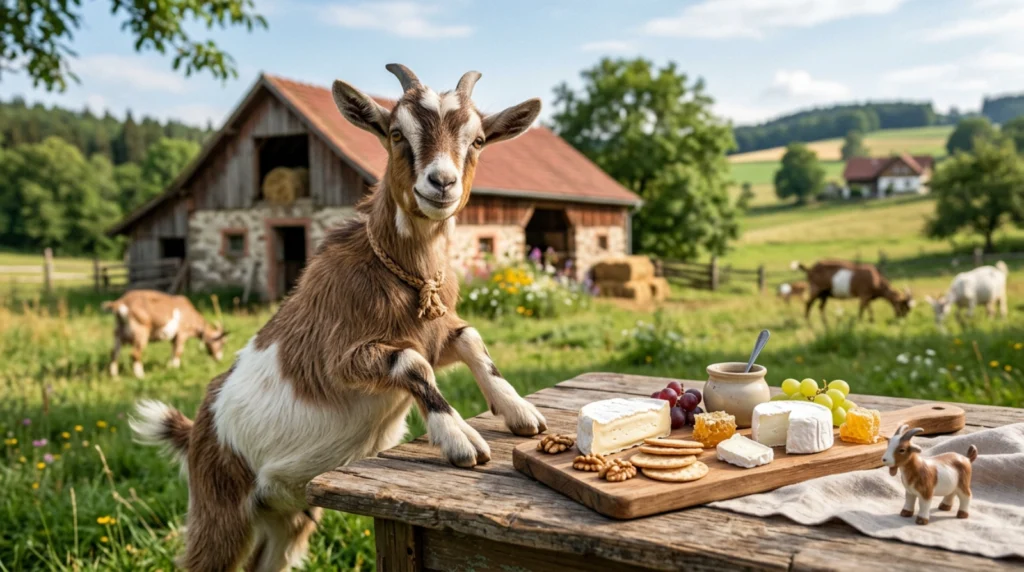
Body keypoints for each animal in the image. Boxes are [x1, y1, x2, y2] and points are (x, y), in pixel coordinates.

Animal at [129, 65, 546, 572]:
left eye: (479, 139)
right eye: (395, 133)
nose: (441, 183)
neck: (403, 274)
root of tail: (195, 431)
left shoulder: (433, 333)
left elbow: (470, 338)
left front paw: (518, 409)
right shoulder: (337, 358)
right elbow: (412, 363)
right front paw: (458, 436)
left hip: (287, 517)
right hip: (219, 506)